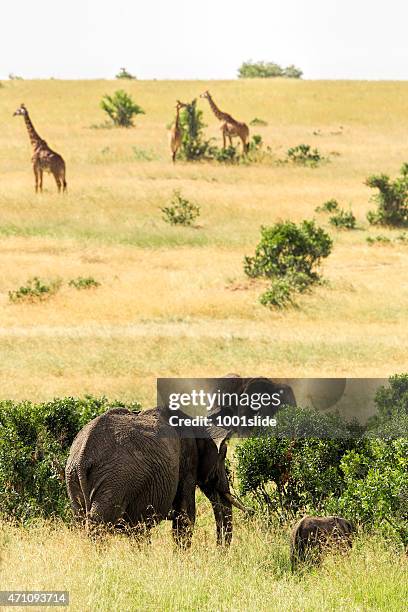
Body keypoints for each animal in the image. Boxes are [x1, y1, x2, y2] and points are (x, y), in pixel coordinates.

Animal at [65, 406, 247, 544]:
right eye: (223, 456)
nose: (219, 552)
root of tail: (82, 457)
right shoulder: (187, 461)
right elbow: (186, 516)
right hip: (115, 480)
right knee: (99, 524)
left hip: (73, 477)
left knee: (83, 520)